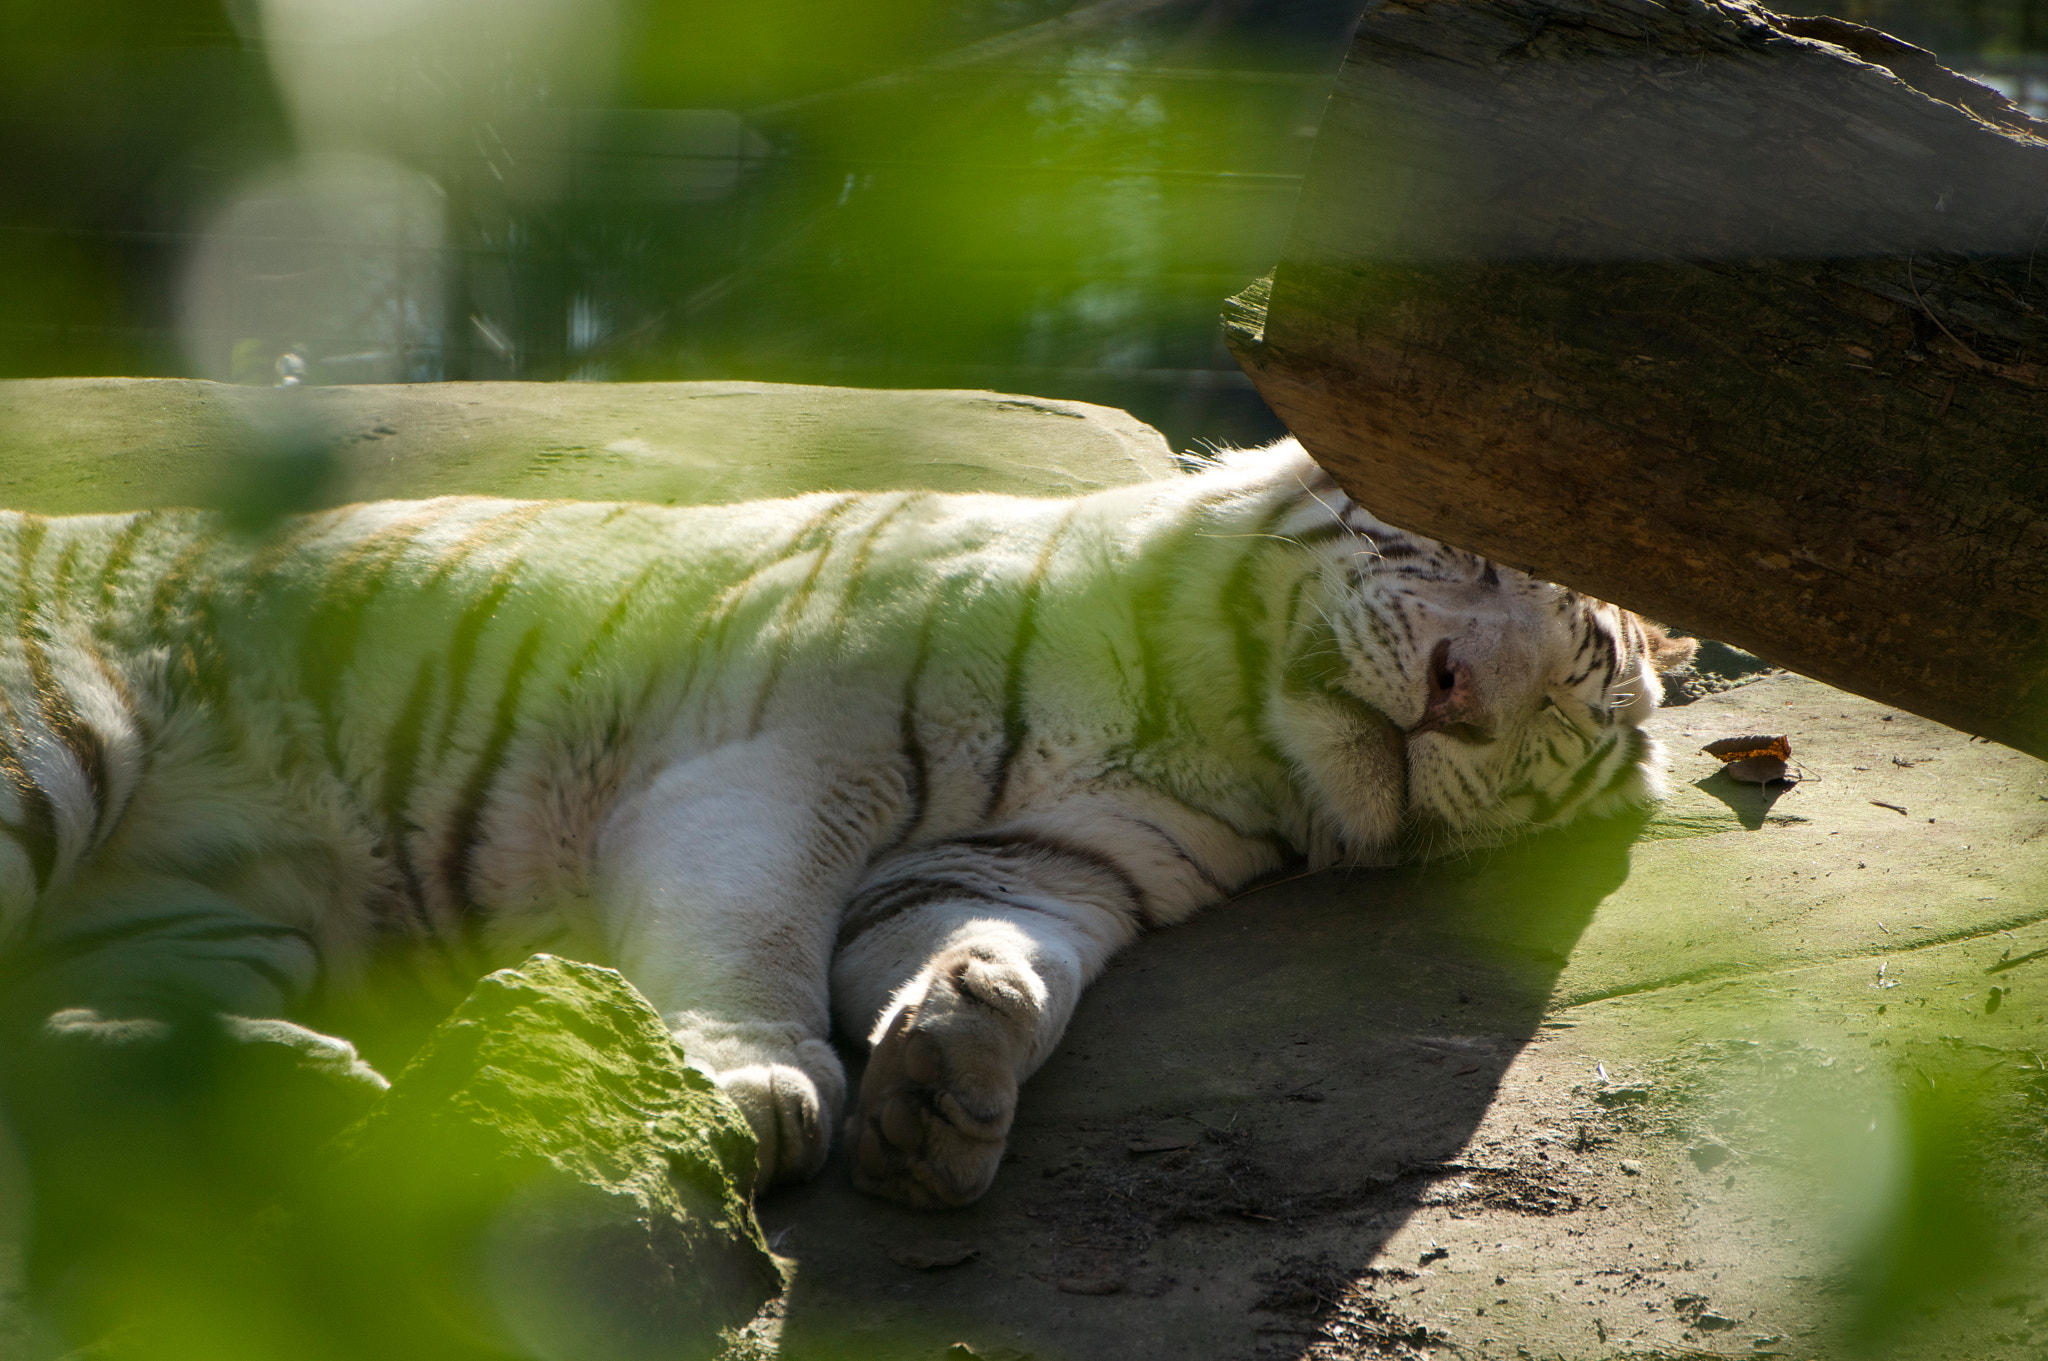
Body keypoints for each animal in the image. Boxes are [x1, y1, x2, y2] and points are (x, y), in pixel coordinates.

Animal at [0, 437, 1692, 1208]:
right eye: (1470, 551)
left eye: (1563, 709)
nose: (1461, 694)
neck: (1218, 719)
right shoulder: (775, 754)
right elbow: (753, 925)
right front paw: (747, 1086)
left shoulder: (1028, 860)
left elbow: (1003, 956)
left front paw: (956, 1059)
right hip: (49, 742)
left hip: (223, 928)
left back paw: (310, 1085)